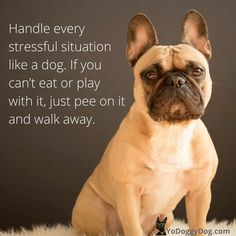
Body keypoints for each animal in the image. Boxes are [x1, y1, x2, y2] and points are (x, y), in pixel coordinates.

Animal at [71, 9, 218, 236]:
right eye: (150, 75)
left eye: (197, 71)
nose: (176, 81)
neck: (170, 130)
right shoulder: (128, 192)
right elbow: (133, 228)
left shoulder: (200, 193)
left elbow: (199, 227)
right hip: (94, 211)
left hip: (168, 217)